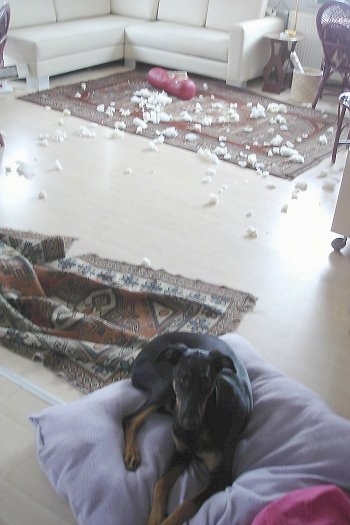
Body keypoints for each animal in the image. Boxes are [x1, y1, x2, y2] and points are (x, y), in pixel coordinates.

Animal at [122, 332, 252, 524]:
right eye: (182, 378)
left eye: (206, 383)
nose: (188, 423)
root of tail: (145, 348)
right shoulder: (181, 452)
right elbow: (160, 483)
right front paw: (155, 518)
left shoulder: (222, 476)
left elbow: (187, 504)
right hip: (165, 383)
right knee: (130, 418)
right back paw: (131, 453)